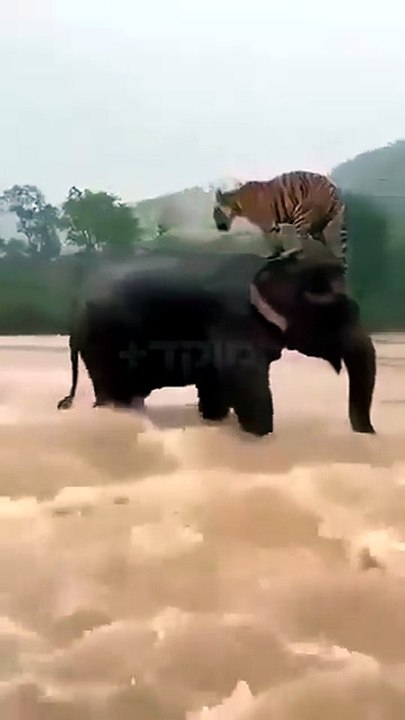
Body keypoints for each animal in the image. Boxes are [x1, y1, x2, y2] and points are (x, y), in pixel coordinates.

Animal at [57, 251, 376, 436]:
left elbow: (216, 381)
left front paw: (214, 419)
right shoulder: (235, 320)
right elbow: (243, 378)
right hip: (106, 346)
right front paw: (261, 433)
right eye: (341, 313)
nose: (369, 433)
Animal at [212, 170, 348, 273]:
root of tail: (332, 188)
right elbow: (277, 241)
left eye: (216, 212)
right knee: (323, 245)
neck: (236, 203)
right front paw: (279, 254)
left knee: (309, 244)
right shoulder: (274, 226)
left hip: (301, 217)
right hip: (318, 226)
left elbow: (271, 241)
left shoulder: (267, 225)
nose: (219, 227)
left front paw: (275, 256)